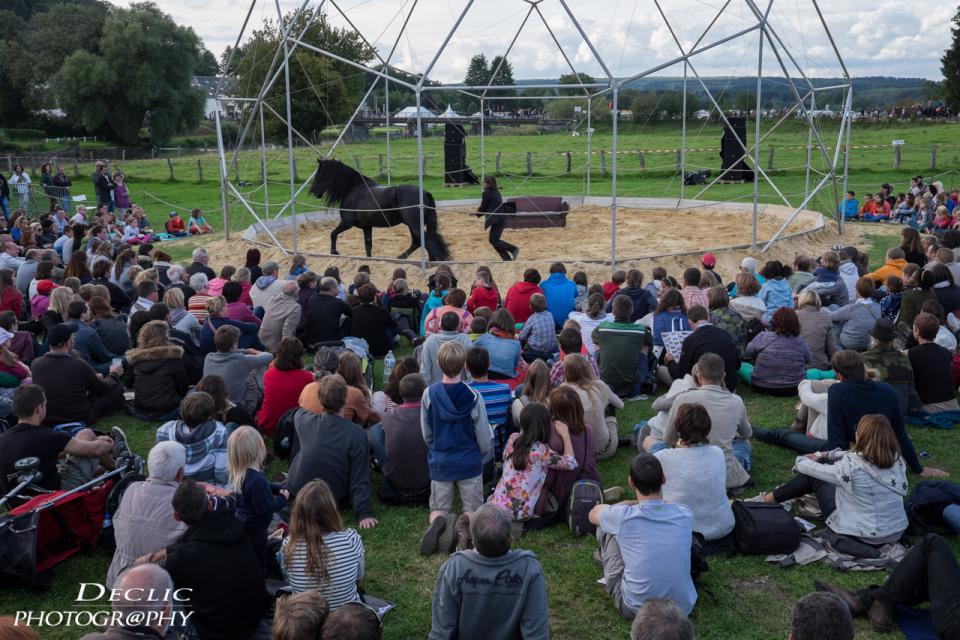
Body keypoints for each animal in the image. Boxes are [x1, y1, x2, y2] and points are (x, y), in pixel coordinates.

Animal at [312, 159, 454, 262]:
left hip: (413, 224)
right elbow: (368, 246)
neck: (354, 189)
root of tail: (425, 193)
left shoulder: (347, 223)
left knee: (425, 241)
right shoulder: (367, 227)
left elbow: (333, 234)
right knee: (421, 241)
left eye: (320, 174)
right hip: (412, 225)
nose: (314, 192)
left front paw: (334, 252)